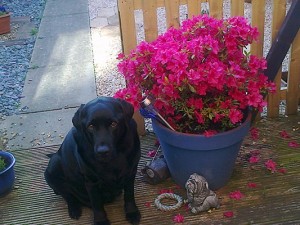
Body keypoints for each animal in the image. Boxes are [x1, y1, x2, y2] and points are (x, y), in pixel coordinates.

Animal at [44, 96, 142, 225]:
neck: (114, 159)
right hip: (53, 166)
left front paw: (132, 212)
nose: (102, 151)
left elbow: (129, 195)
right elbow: (96, 203)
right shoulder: (91, 181)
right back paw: (74, 209)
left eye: (113, 124)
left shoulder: (131, 172)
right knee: (67, 194)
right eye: (90, 126)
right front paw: (101, 221)